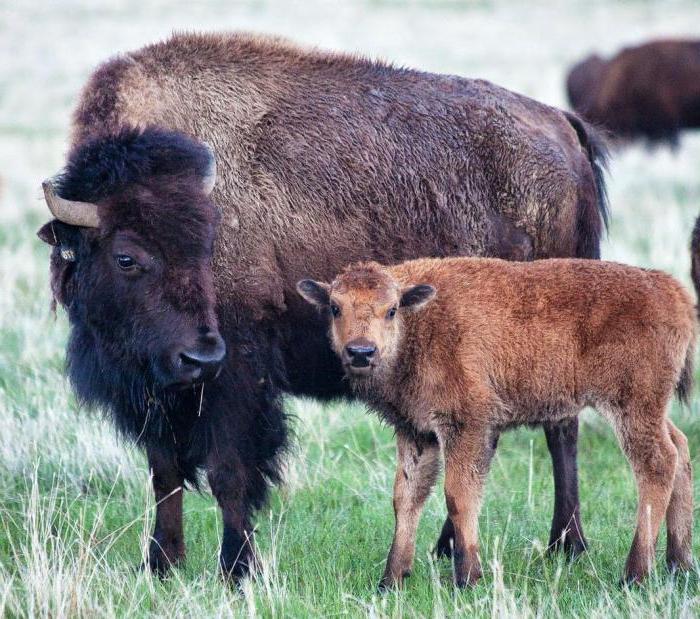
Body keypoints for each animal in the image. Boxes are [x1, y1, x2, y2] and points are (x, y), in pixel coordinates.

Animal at [38, 30, 608, 580]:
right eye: (127, 257)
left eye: (207, 245)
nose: (198, 357)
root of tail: (562, 126)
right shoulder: (155, 391)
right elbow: (166, 474)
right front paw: (161, 563)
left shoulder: (235, 378)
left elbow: (229, 472)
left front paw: (237, 568)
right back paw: (451, 547)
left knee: (561, 430)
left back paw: (567, 545)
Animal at [298, 260, 696, 588]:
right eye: (335, 307)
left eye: (391, 310)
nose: (361, 352)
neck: (420, 323)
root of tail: (672, 291)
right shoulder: (417, 432)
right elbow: (406, 497)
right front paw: (391, 580)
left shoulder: (467, 425)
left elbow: (458, 494)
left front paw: (467, 578)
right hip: (652, 409)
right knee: (680, 449)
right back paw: (679, 563)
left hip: (632, 406)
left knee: (658, 463)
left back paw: (635, 575)